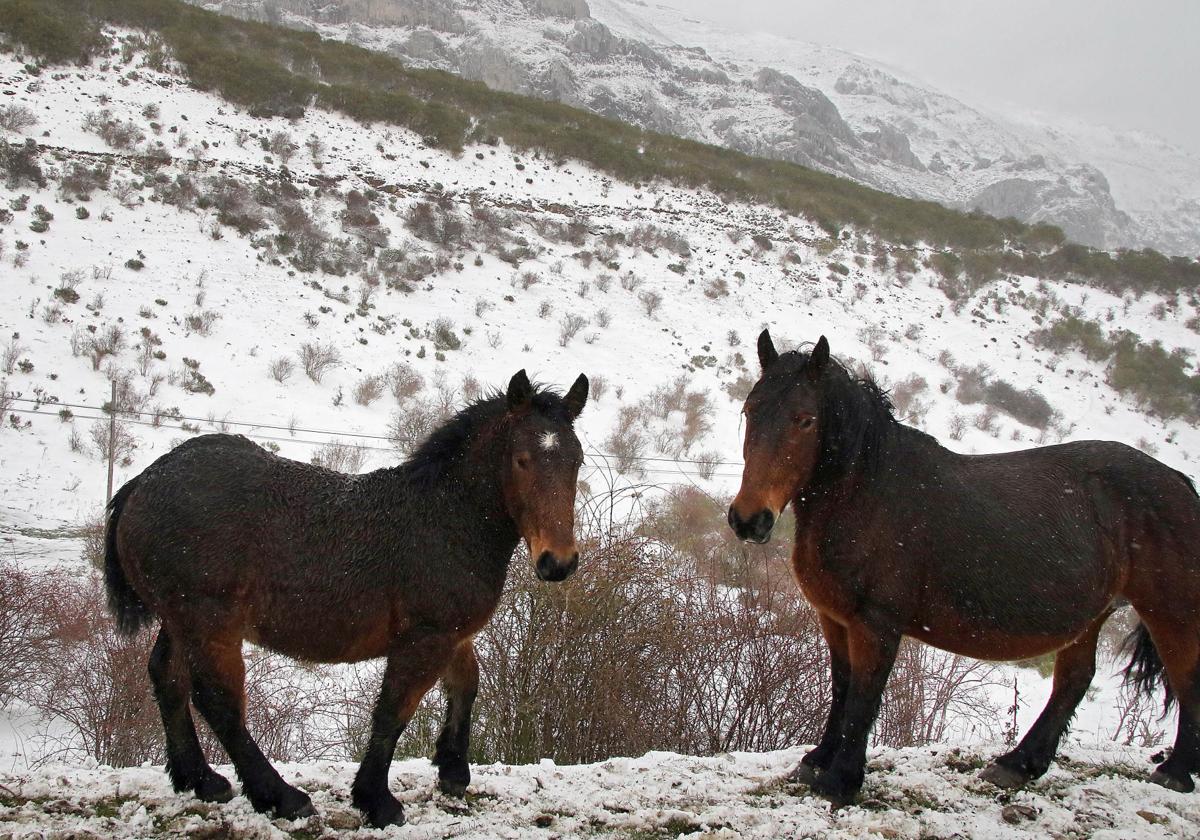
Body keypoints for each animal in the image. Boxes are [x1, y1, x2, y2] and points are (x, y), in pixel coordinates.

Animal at [103, 372, 590, 825]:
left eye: (576, 461)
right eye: (521, 460)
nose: (558, 562)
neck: (446, 520)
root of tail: (143, 482)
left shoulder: (453, 635)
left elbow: (466, 686)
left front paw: (452, 771)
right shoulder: (425, 639)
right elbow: (393, 712)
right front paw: (376, 800)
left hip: (179, 619)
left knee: (167, 678)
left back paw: (200, 779)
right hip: (208, 621)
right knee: (219, 701)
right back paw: (280, 796)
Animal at [724, 331, 1200, 801]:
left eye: (805, 420)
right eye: (750, 410)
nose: (749, 519)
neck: (867, 493)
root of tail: (1178, 481)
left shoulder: (875, 624)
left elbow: (864, 694)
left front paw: (841, 781)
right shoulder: (834, 618)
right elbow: (842, 686)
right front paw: (817, 760)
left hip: (1170, 611)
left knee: (1184, 676)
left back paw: (1174, 773)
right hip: (1089, 618)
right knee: (1074, 680)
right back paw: (1017, 765)